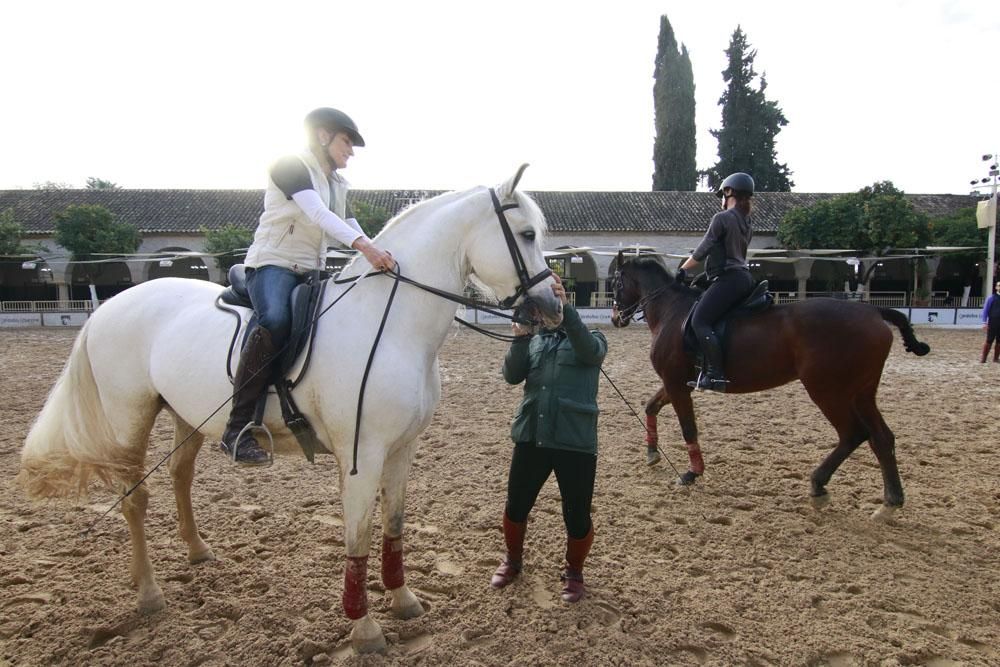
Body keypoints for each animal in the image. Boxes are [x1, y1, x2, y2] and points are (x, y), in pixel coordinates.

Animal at [17, 166, 564, 652]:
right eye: (527, 233)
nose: (553, 306)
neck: (387, 323)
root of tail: (110, 306)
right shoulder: (361, 457)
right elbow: (358, 536)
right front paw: (364, 628)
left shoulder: (402, 451)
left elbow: (394, 526)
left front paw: (404, 600)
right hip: (130, 418)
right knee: (135, 498)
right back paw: (150, 594)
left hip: (185, 415)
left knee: (179, 476)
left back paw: (197, 553)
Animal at [608, 254, 928, 520]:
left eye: (616, 282)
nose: (615, 317)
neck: (672, 311)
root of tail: (872, 312)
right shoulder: (673, 382)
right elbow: (651, 406)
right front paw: (652, 453)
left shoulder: (676, 384)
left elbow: (688, 428)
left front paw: (692, 473)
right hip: (861, 393)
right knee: (881, 438)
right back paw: (890, 502)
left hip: (828, 391)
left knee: (853, 434)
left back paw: (818, 486)